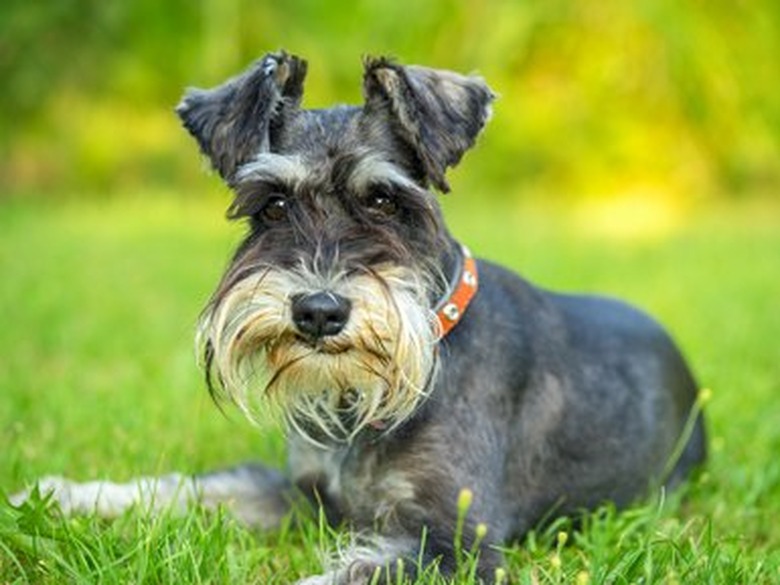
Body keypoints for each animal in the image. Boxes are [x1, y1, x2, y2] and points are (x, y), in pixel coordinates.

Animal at [12, 51, 708, 584]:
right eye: (272, 204)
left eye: (383, 200)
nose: (318, 311)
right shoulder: (303, 495)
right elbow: (192, 487)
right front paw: (62, 496)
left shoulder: (454, 544)